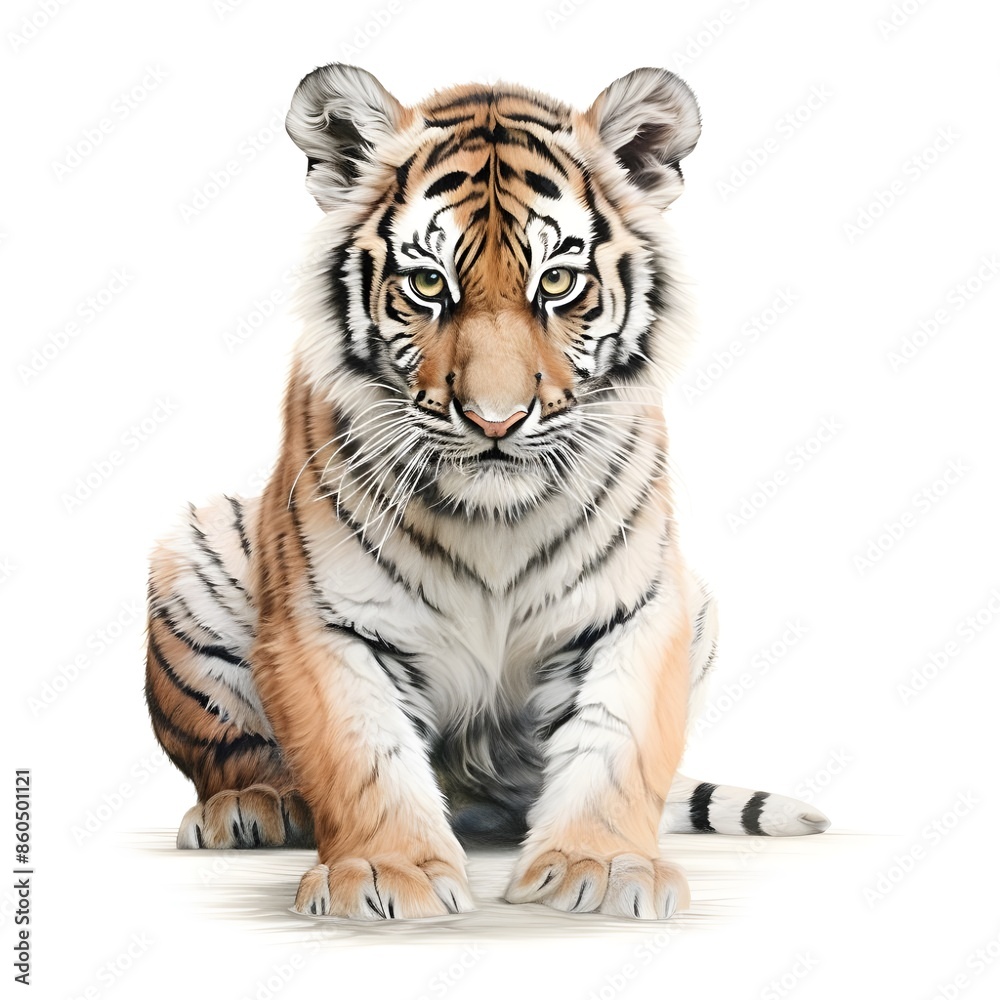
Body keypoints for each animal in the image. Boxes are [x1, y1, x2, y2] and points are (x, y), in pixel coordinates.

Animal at [144, 63, 830, 921]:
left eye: (559, 281)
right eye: (426, 284)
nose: (495, 420)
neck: (494, 518)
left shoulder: (638, 606)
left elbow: (618, 741)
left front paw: (601, 867)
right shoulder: (323, 621)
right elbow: (361, 752)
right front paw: (387, 872)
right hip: (191, 549)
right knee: (233, 755)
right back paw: (257, 808)